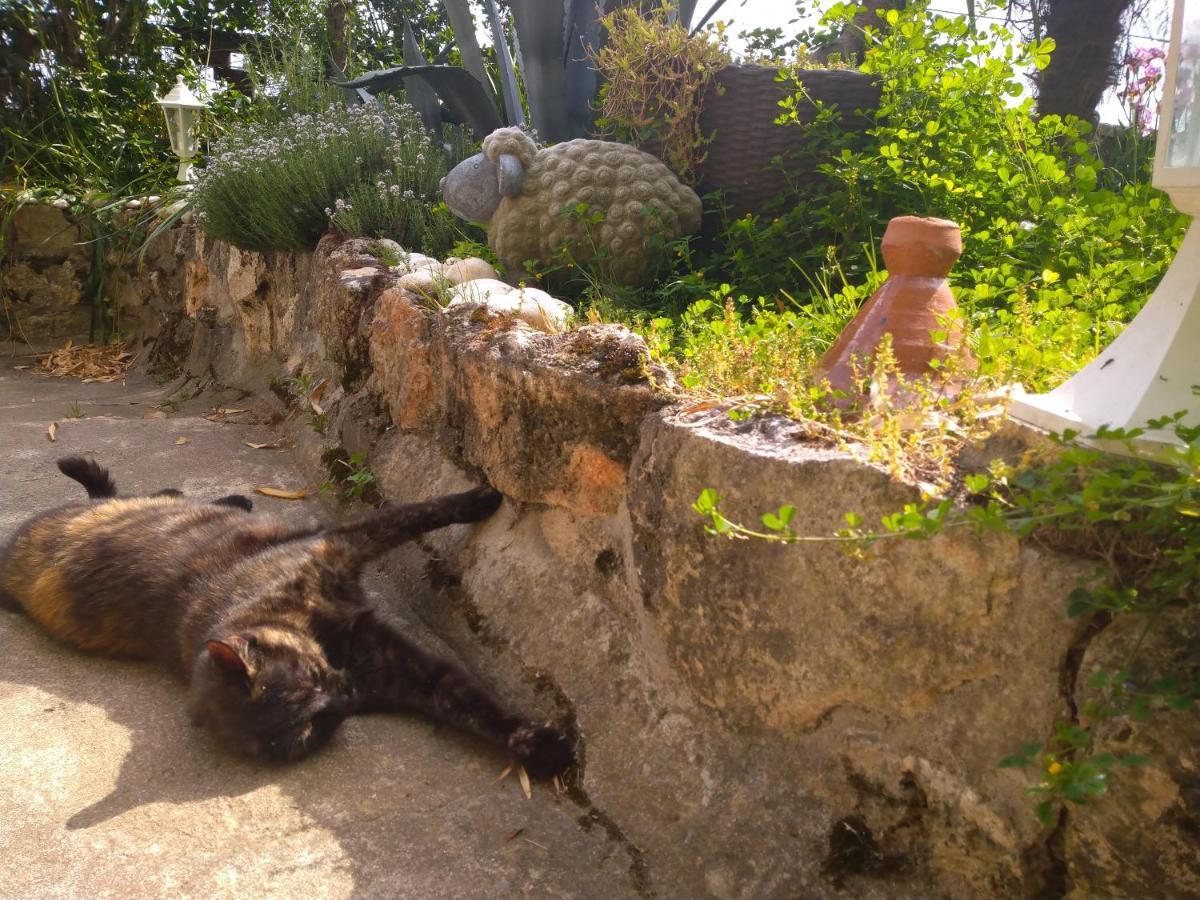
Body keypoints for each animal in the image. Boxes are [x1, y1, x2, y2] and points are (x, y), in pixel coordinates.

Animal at [0, 458, 573, 777]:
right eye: (310, 727)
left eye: (308, 679)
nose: (347, 695)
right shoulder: (406, 673)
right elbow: (470, 706)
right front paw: (540, 748)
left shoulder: (345, 542)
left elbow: (417, 511)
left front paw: (480, 497)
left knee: (160, 492)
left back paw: (229, 496)